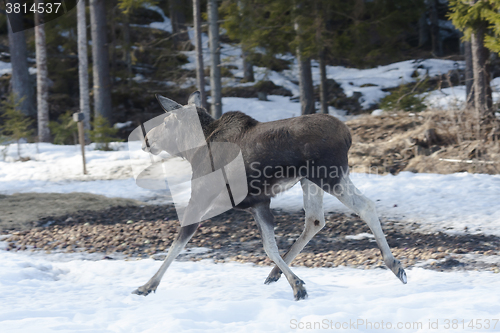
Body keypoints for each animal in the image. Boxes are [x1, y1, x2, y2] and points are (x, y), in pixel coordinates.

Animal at [134, 91, 406, 300]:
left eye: (167, 122)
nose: (146, 140)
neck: (193, 150)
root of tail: (348, 134)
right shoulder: (259, 202)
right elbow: (270, 246)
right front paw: (295, 281)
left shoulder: (202, 195)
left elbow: (180, 240)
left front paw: (147, 285)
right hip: (310, 180)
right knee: (315, 219)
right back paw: (275, 273)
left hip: (328, 175)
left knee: (365, 206)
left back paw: (394, 264)